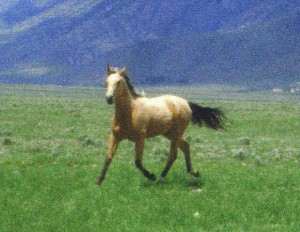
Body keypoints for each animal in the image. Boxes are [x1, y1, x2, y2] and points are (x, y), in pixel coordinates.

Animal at [96, 65, 225, 185]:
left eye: (119, 82)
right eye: (106, 82)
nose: (109, 98)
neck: (130, 113)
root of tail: (186, 103)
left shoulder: (140, 139)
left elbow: (138, 162)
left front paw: (151, 176)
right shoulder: (115, 137)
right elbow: (108, 157)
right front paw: (99, 181)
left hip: (176, 134)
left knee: (173, 155)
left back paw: (160, 178)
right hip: (169, 134)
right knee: (186, 146)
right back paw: (194, 172)